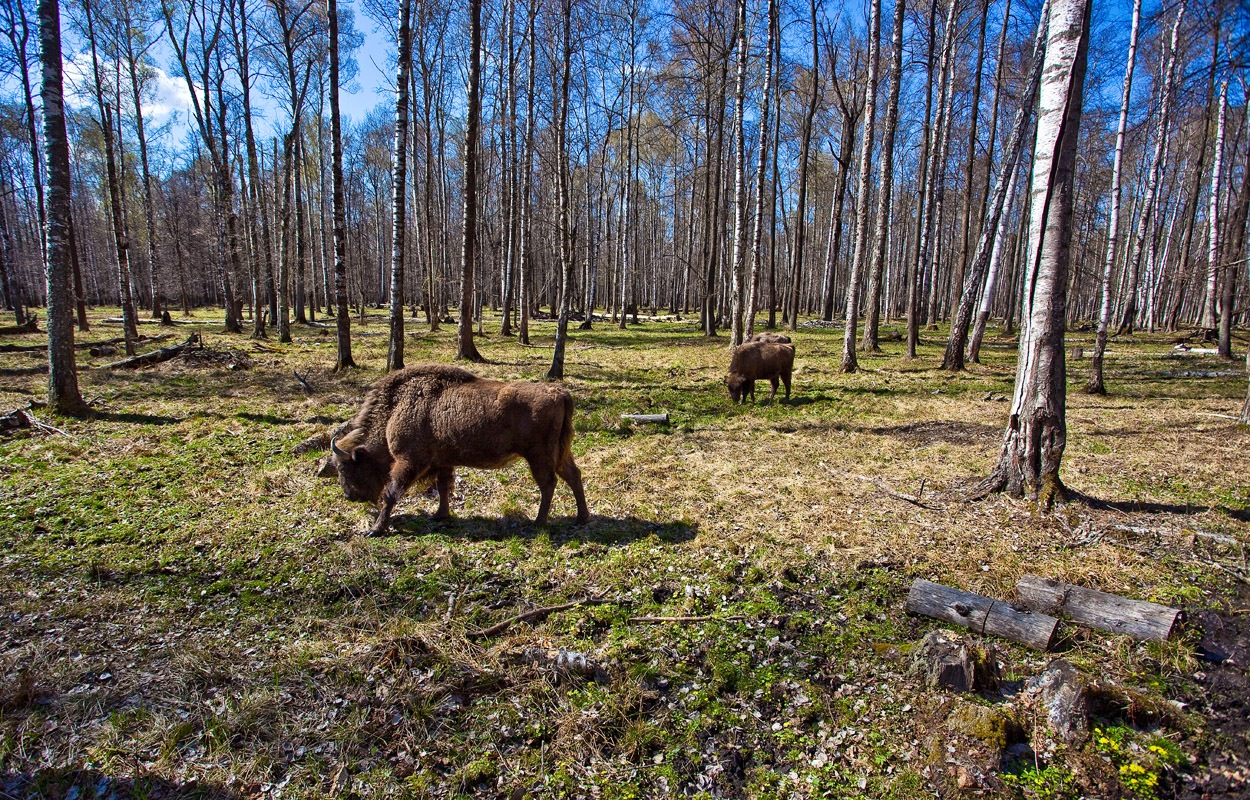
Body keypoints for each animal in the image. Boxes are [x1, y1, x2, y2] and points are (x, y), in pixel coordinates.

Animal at [327, 365, 590, 535]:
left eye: (345, 468)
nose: (349, 496)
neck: (396, 408)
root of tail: (560, 393)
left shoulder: (407, 461)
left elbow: (391, 493)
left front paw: (375, 530)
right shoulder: (443, 462)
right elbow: (444, 487)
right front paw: (440, 515)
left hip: (539, 457)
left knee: (548, 483)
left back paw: (539, 522)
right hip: (560, 453)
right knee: (573, 476)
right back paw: (581, 518)